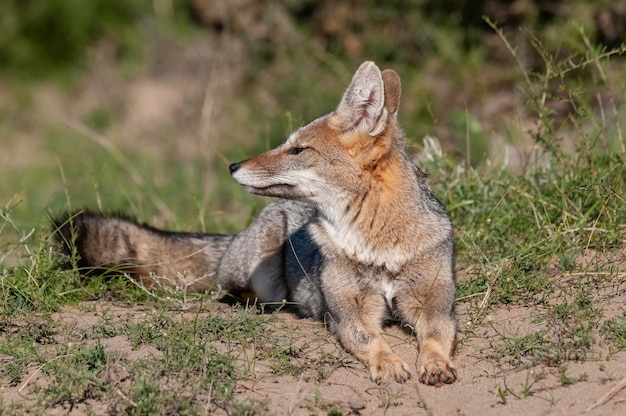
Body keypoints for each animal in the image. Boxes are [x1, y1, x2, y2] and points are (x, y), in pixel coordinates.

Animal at [56, 61, 456, 386]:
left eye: (297, 149)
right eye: (288, 145)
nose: (233, 166)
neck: (377, 246)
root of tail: (236, 236)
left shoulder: (435, 301)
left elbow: (437, 335)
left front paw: (436, 364)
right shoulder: (348, 311)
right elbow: (371, 339)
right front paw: (388, 363)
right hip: (260, 270)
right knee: (228, 291)